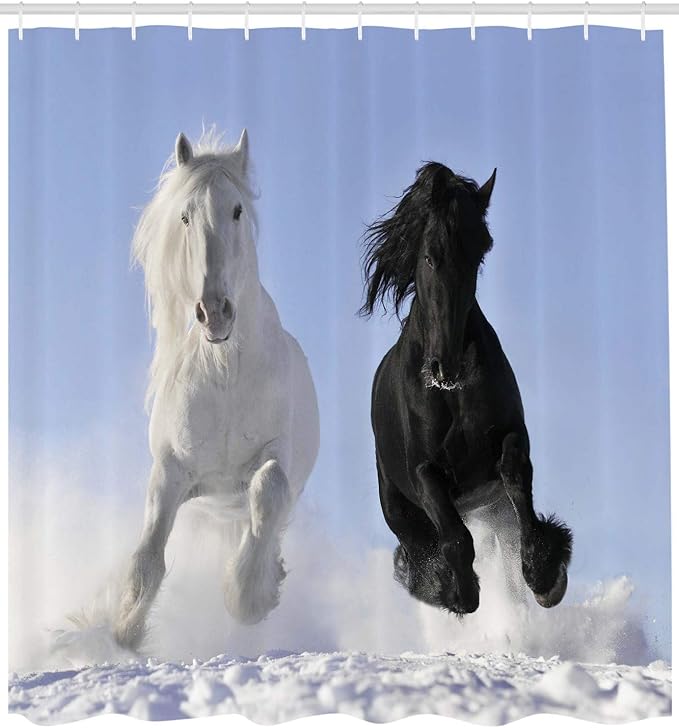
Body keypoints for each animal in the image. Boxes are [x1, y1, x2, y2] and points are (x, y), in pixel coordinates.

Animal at [114, 129, 320, 650]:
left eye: (237, 210)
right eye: (185, 216)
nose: (215, 312)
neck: (226, 373)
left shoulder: (275, 459)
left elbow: (268, 491)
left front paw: (249, 597)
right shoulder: (171, 471)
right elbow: (148, 556)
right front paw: (124, 631)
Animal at [360, 162, 572, 615]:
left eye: (478, 255)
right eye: (429, 256)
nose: (447, 366)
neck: (451, 394)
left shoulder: (511, 437)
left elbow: (516, 476)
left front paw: (545, 575)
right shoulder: (425, 472)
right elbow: (455, 538)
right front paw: (457, 592)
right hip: (399, 507)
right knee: (419, 547)